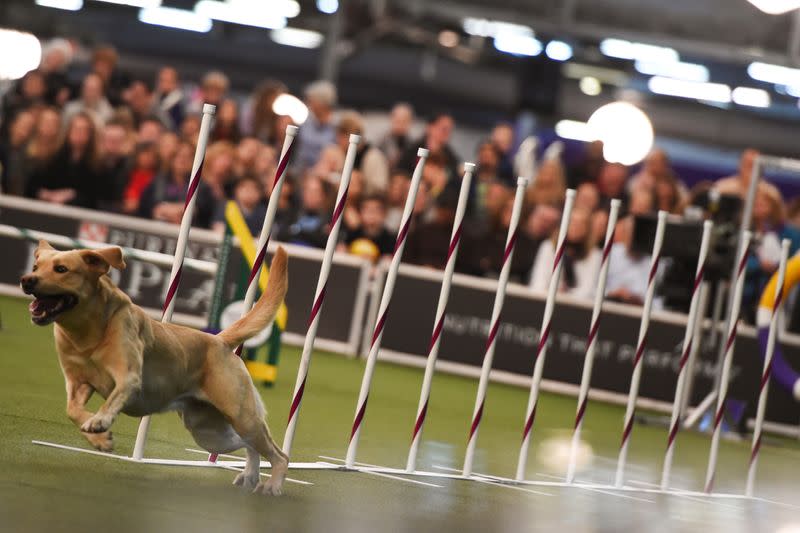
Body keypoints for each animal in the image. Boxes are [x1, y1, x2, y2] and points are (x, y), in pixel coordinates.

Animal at [19, 241, 290, 494]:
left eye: (61, 269)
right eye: (35, 266)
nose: (26, 280)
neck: (86, 333)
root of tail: (219, 340)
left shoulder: (128, 377)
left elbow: (110, 401)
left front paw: (100, 422)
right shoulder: (77, 384)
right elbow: (73, 411)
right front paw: (99, 438)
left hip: (242, 417)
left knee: (279, 455)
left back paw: (272, 486)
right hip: (209, 432)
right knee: (249, 446)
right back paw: (250, 477)